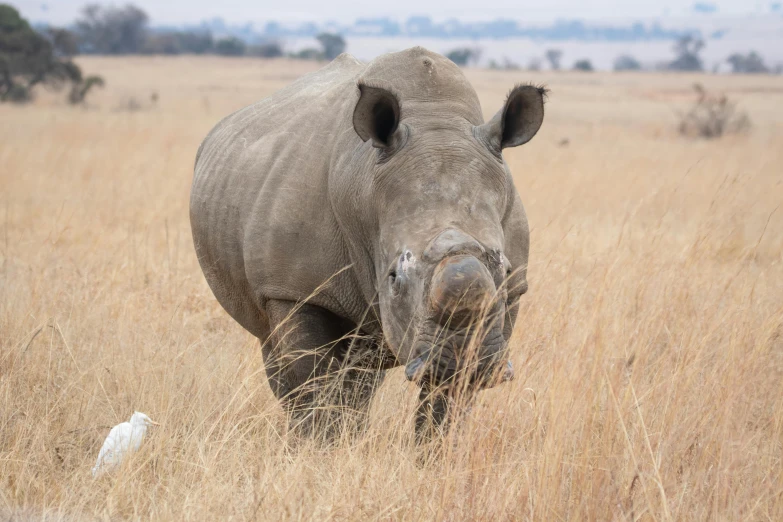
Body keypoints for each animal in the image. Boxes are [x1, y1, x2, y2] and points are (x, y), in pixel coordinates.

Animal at [190, 47, 544, 438]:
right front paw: (319, 448)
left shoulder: (510, 297)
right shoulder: (291, 290)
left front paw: (433, 449)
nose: (462, 357)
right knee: (284, 361)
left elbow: (445, 406)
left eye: (506, 269)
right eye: (393, 277)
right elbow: (312, 386)